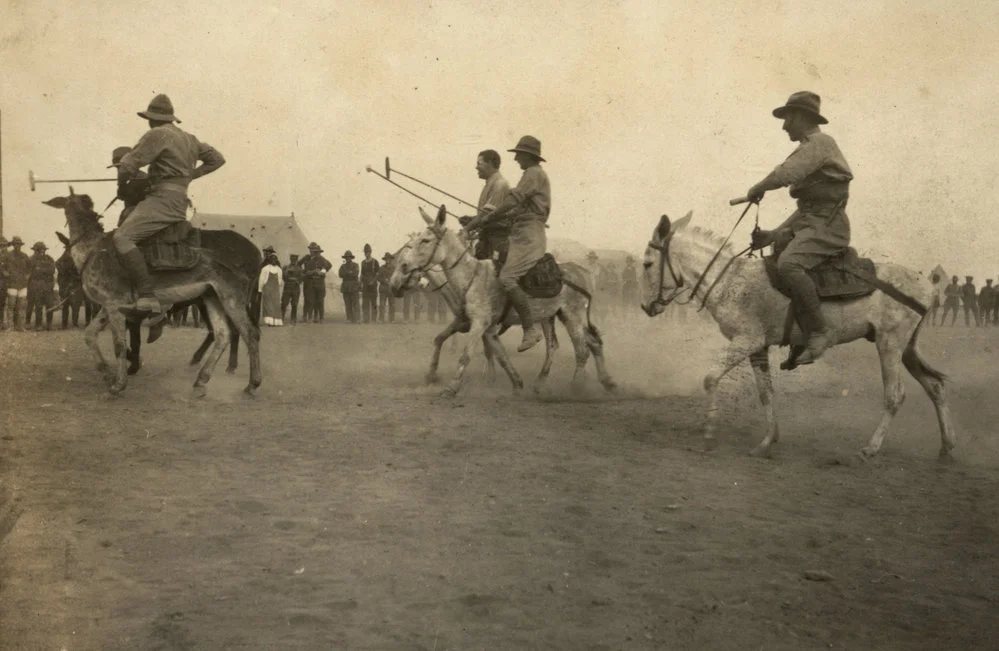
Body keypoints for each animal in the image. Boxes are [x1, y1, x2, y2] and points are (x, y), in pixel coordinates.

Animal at [636, 213, 956, 458]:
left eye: (648, 264)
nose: (646, 306)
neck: (729, 282)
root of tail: (928, 285)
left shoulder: (746, 340)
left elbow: (711, 378)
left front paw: (709, 433)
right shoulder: (758, 347)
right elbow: (765, 392)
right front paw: (768, 440)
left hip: (889, 344)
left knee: (895, 395)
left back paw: (871, 448)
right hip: (906, 348)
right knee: (935, 387)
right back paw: (947, 447)